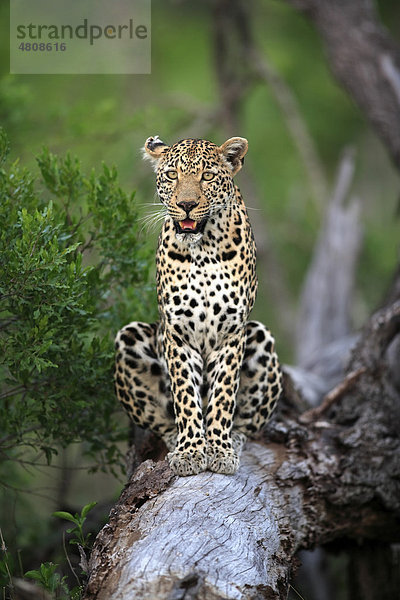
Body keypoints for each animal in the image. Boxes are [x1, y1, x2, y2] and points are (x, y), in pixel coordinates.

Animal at [114, 134, 282, 476]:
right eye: (171, 175)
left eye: (207, 176)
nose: (187, 205)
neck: (203, 249)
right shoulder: (178, 333)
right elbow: (185, 395)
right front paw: (191, 450)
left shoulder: (231, 332)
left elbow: (223, 394)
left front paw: (218, 448)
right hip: (130, 337)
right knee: (162, 423)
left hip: (261, 337)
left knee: (246, 425)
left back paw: (233, 441)